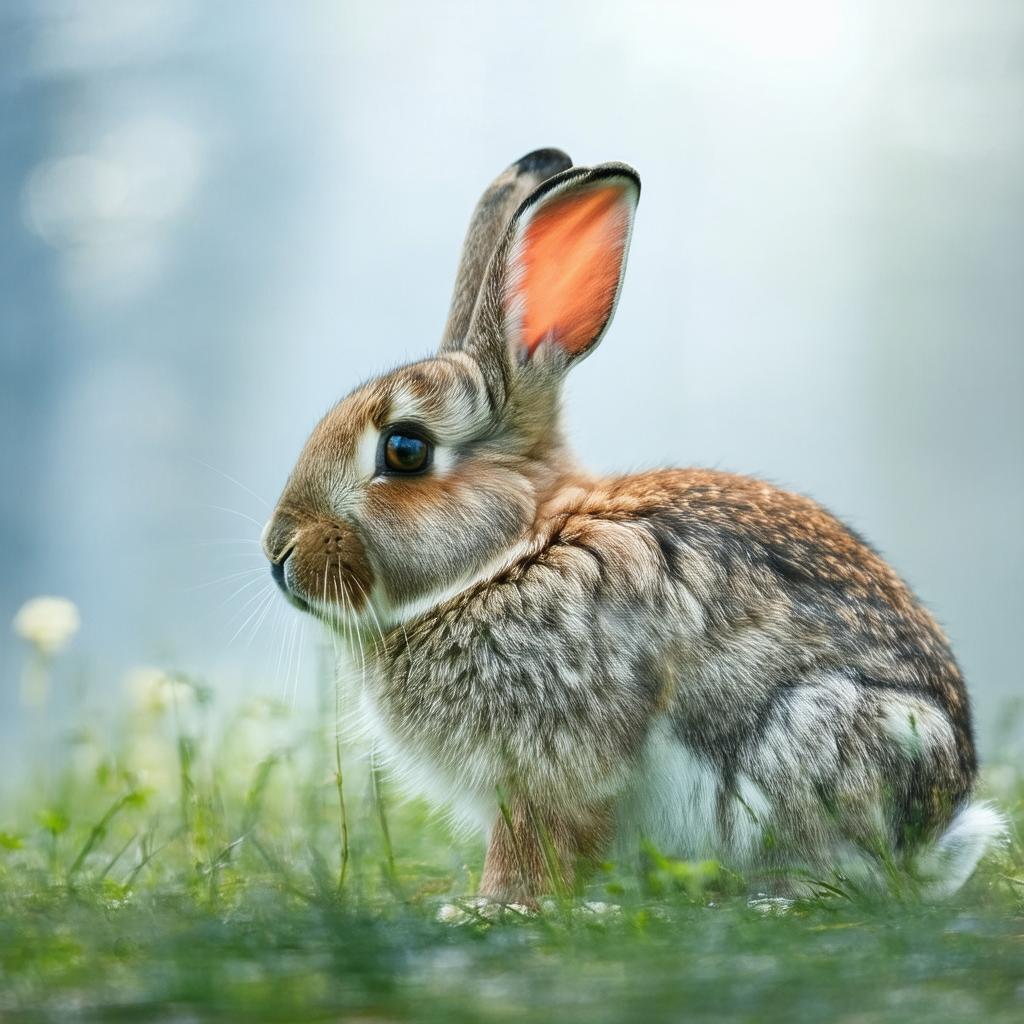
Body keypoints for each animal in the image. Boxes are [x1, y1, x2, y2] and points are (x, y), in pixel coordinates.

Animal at [262, 147, 1004, 903]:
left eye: (405, 450)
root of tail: (940, 829)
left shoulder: (547, 760)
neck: (513, 553)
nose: (278, 554)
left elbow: (529, 838)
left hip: (814, 736)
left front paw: (494, 906)